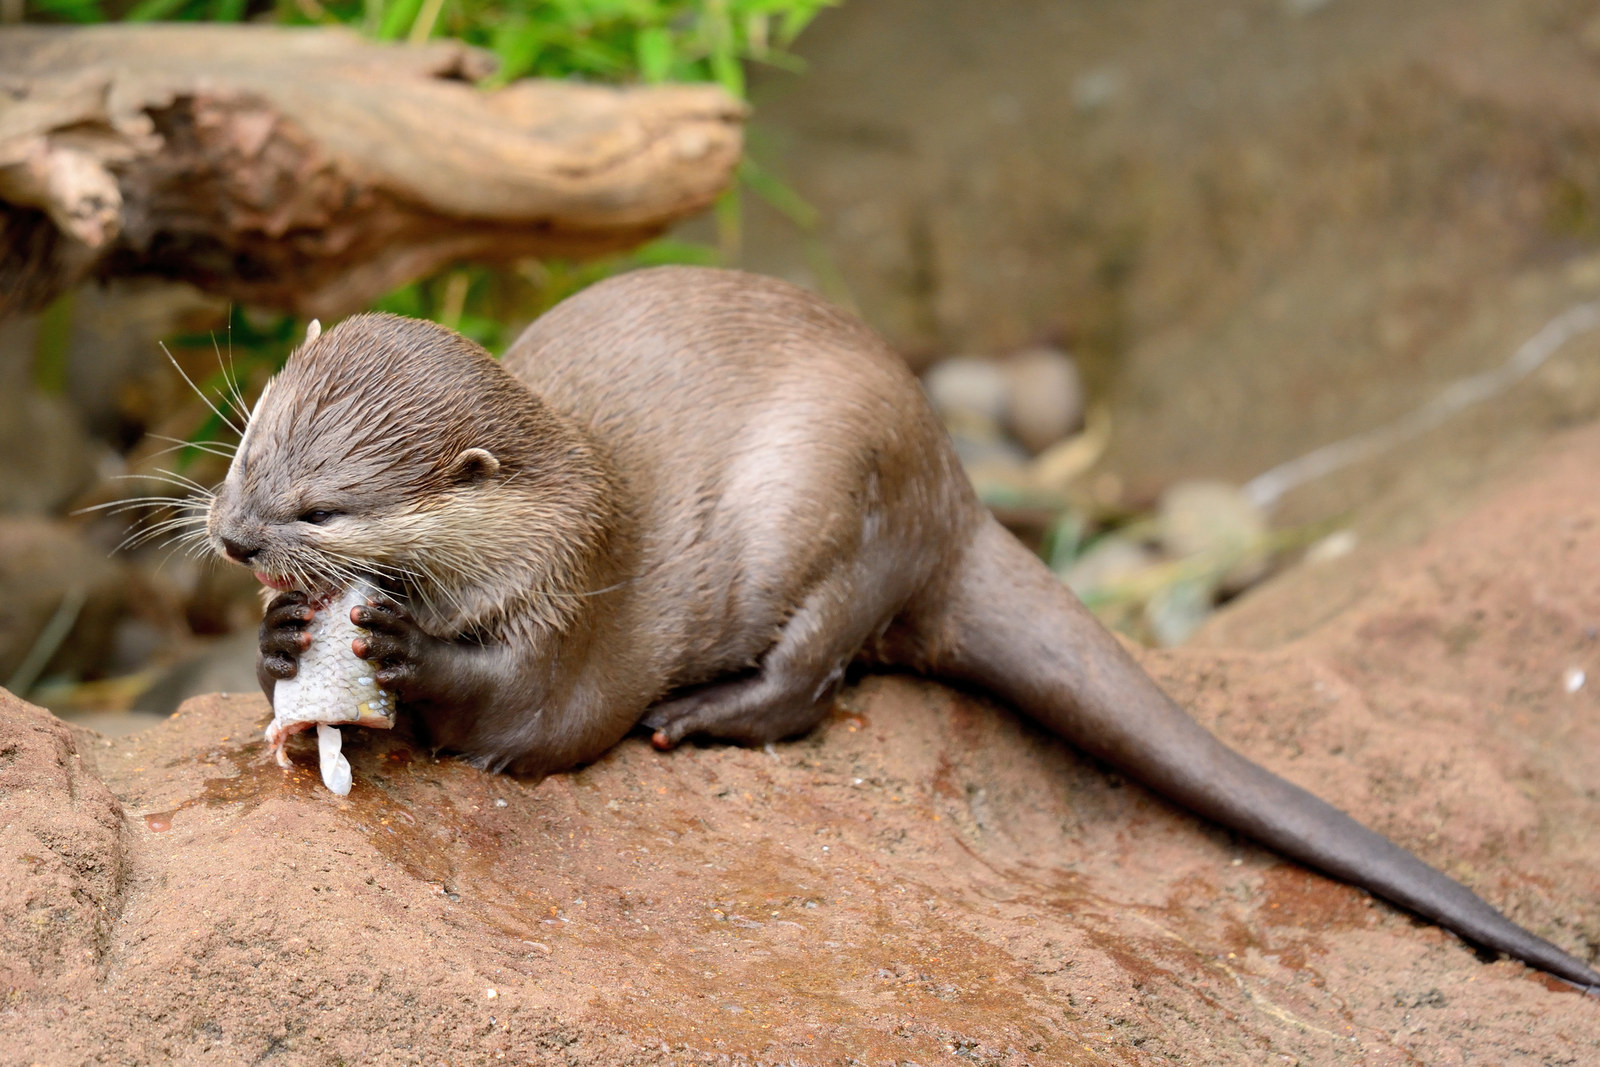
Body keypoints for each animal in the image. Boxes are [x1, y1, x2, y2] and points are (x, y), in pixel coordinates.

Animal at [206, 267, 1600, 991]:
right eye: (250, 442)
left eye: (325, 505)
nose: (229, 534)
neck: (564, 505)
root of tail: (953, 487)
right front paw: (279, 649)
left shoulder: (575, 604)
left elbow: (534, 714)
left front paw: (398, 651)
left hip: (838, 507)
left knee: (818, 674)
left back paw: (703, 715)